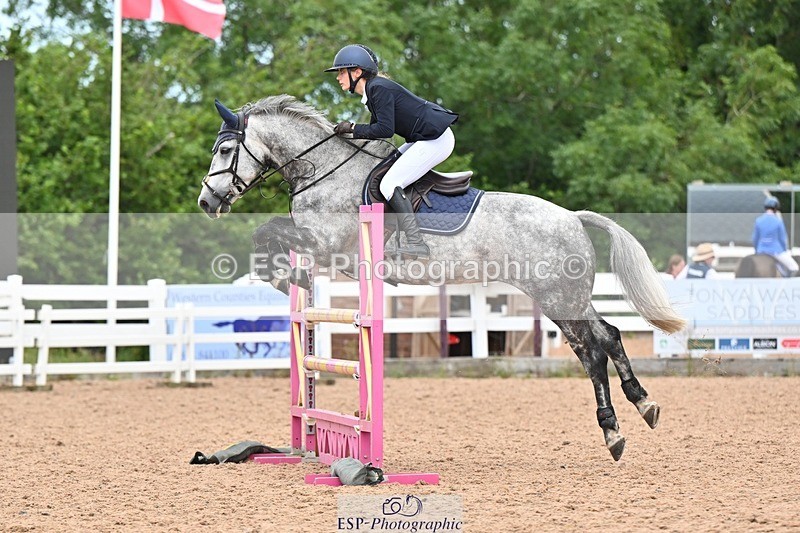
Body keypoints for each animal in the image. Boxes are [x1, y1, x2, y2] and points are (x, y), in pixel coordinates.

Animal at [197, 94, 686, 462]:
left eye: (225, 150)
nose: (207, 202)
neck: (325, 171)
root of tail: (572, 216)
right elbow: (270, 234)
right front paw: (290, 278)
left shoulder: (326, 242)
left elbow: (266, 232)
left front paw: (285, 278)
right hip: (570, 296)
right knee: (610, 336)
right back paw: (644, 404)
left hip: (556, 298)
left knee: (591, 353)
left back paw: (614, 432)